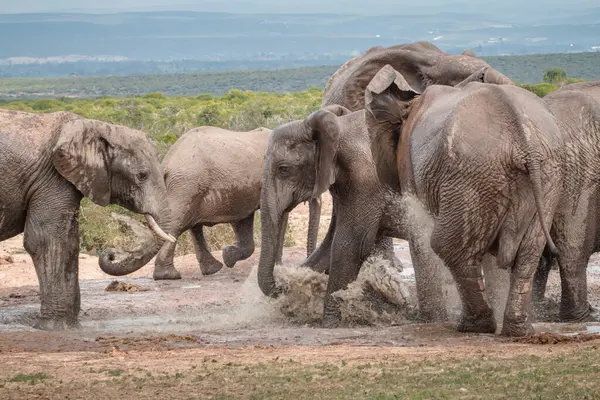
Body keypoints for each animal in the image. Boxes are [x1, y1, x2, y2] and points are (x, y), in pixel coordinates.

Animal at [0, 109, 173, 332]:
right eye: (141, 175)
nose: (110, 254)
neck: (101, 127)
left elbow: (70, 241)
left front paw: (72, 324)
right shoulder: (52, 176)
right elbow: (46, 240)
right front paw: (54, 327)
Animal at [98, 124, 304, 278]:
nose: (110, 254)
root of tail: (167, 162)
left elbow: (242, 220)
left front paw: (228, 256)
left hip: (188, 186)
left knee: (189, 224)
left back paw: (211, 269)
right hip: (187, 184)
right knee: (178, 223)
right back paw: (169, 276)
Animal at [366, 65, 568, 334]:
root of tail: (526, 144)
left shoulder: (408, 160)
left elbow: (419, 237)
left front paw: (430, 318)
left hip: (471, 175)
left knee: (446, 245)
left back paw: (475, 326)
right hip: (544, 177)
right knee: (528, 251)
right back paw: (518, 329)